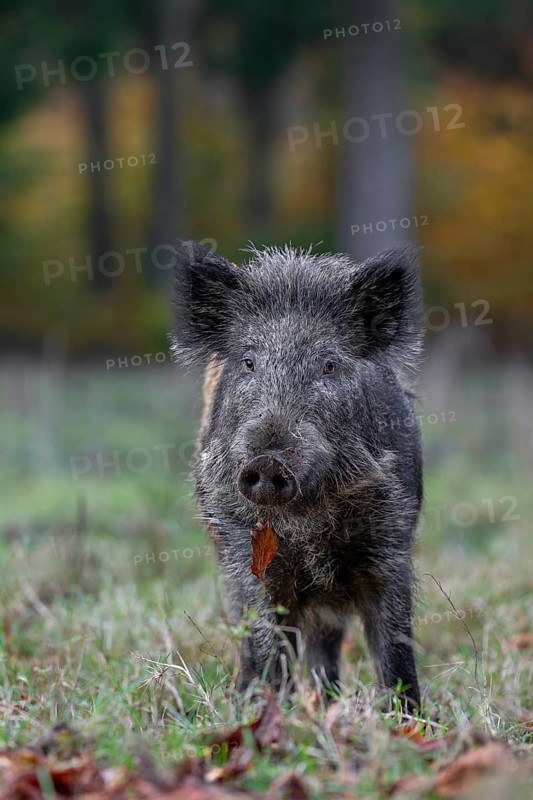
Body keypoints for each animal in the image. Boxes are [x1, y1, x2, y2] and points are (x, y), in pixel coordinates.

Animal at [171, 241, 424, 709]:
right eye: (249, 362)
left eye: (328, 365)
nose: (268, 462)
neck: (308, 525)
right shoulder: (243, 554)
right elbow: (266, 640)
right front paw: (269, 711)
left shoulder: (389, 544)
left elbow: (395, 645)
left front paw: (411, 721)